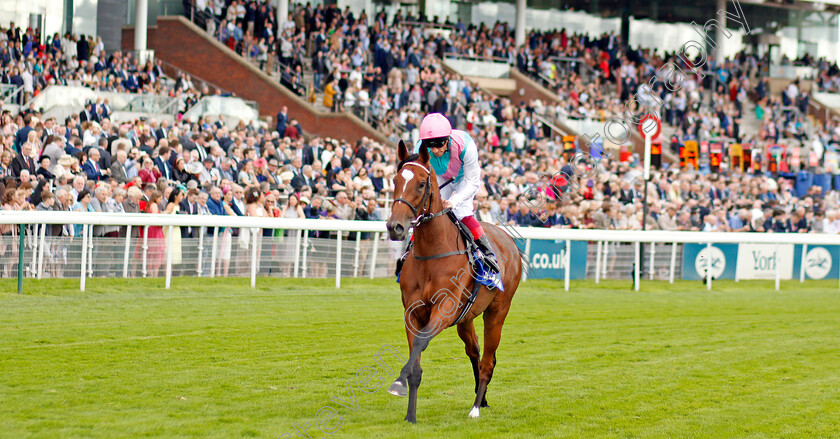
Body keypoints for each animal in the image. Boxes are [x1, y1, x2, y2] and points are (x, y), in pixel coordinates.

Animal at [386, 140, 520, 422]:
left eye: (421, 184)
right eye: (395, 180)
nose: (396, 227)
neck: (432, 253)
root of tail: (508, 240)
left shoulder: (444, 309)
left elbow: (421, 343)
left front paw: (398, 383)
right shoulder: (412, 312)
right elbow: (416, 361)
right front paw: (410, 414)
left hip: (497, 311)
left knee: (488, 360)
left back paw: (476, 407)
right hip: (465, 318)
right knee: (476, 352)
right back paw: (483, 398)